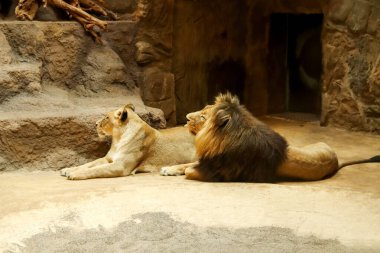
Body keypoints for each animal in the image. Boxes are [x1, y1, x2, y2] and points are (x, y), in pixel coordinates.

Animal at [61, 104, 196, 179]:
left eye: (106, 118)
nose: (95, 124)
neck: (118, 138)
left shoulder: (121, 166)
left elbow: (95, 169)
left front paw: (74, 174)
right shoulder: (108, 159)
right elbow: (89, 164)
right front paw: (68, 169)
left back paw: (169, 170)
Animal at [161, 93, 380, 182]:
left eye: (203, 117)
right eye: (203, 108)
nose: (186, 117)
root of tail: (335, 160)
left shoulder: (219, 172)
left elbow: (190, 169)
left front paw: (176, 169)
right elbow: (185, 164)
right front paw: (169, 168)